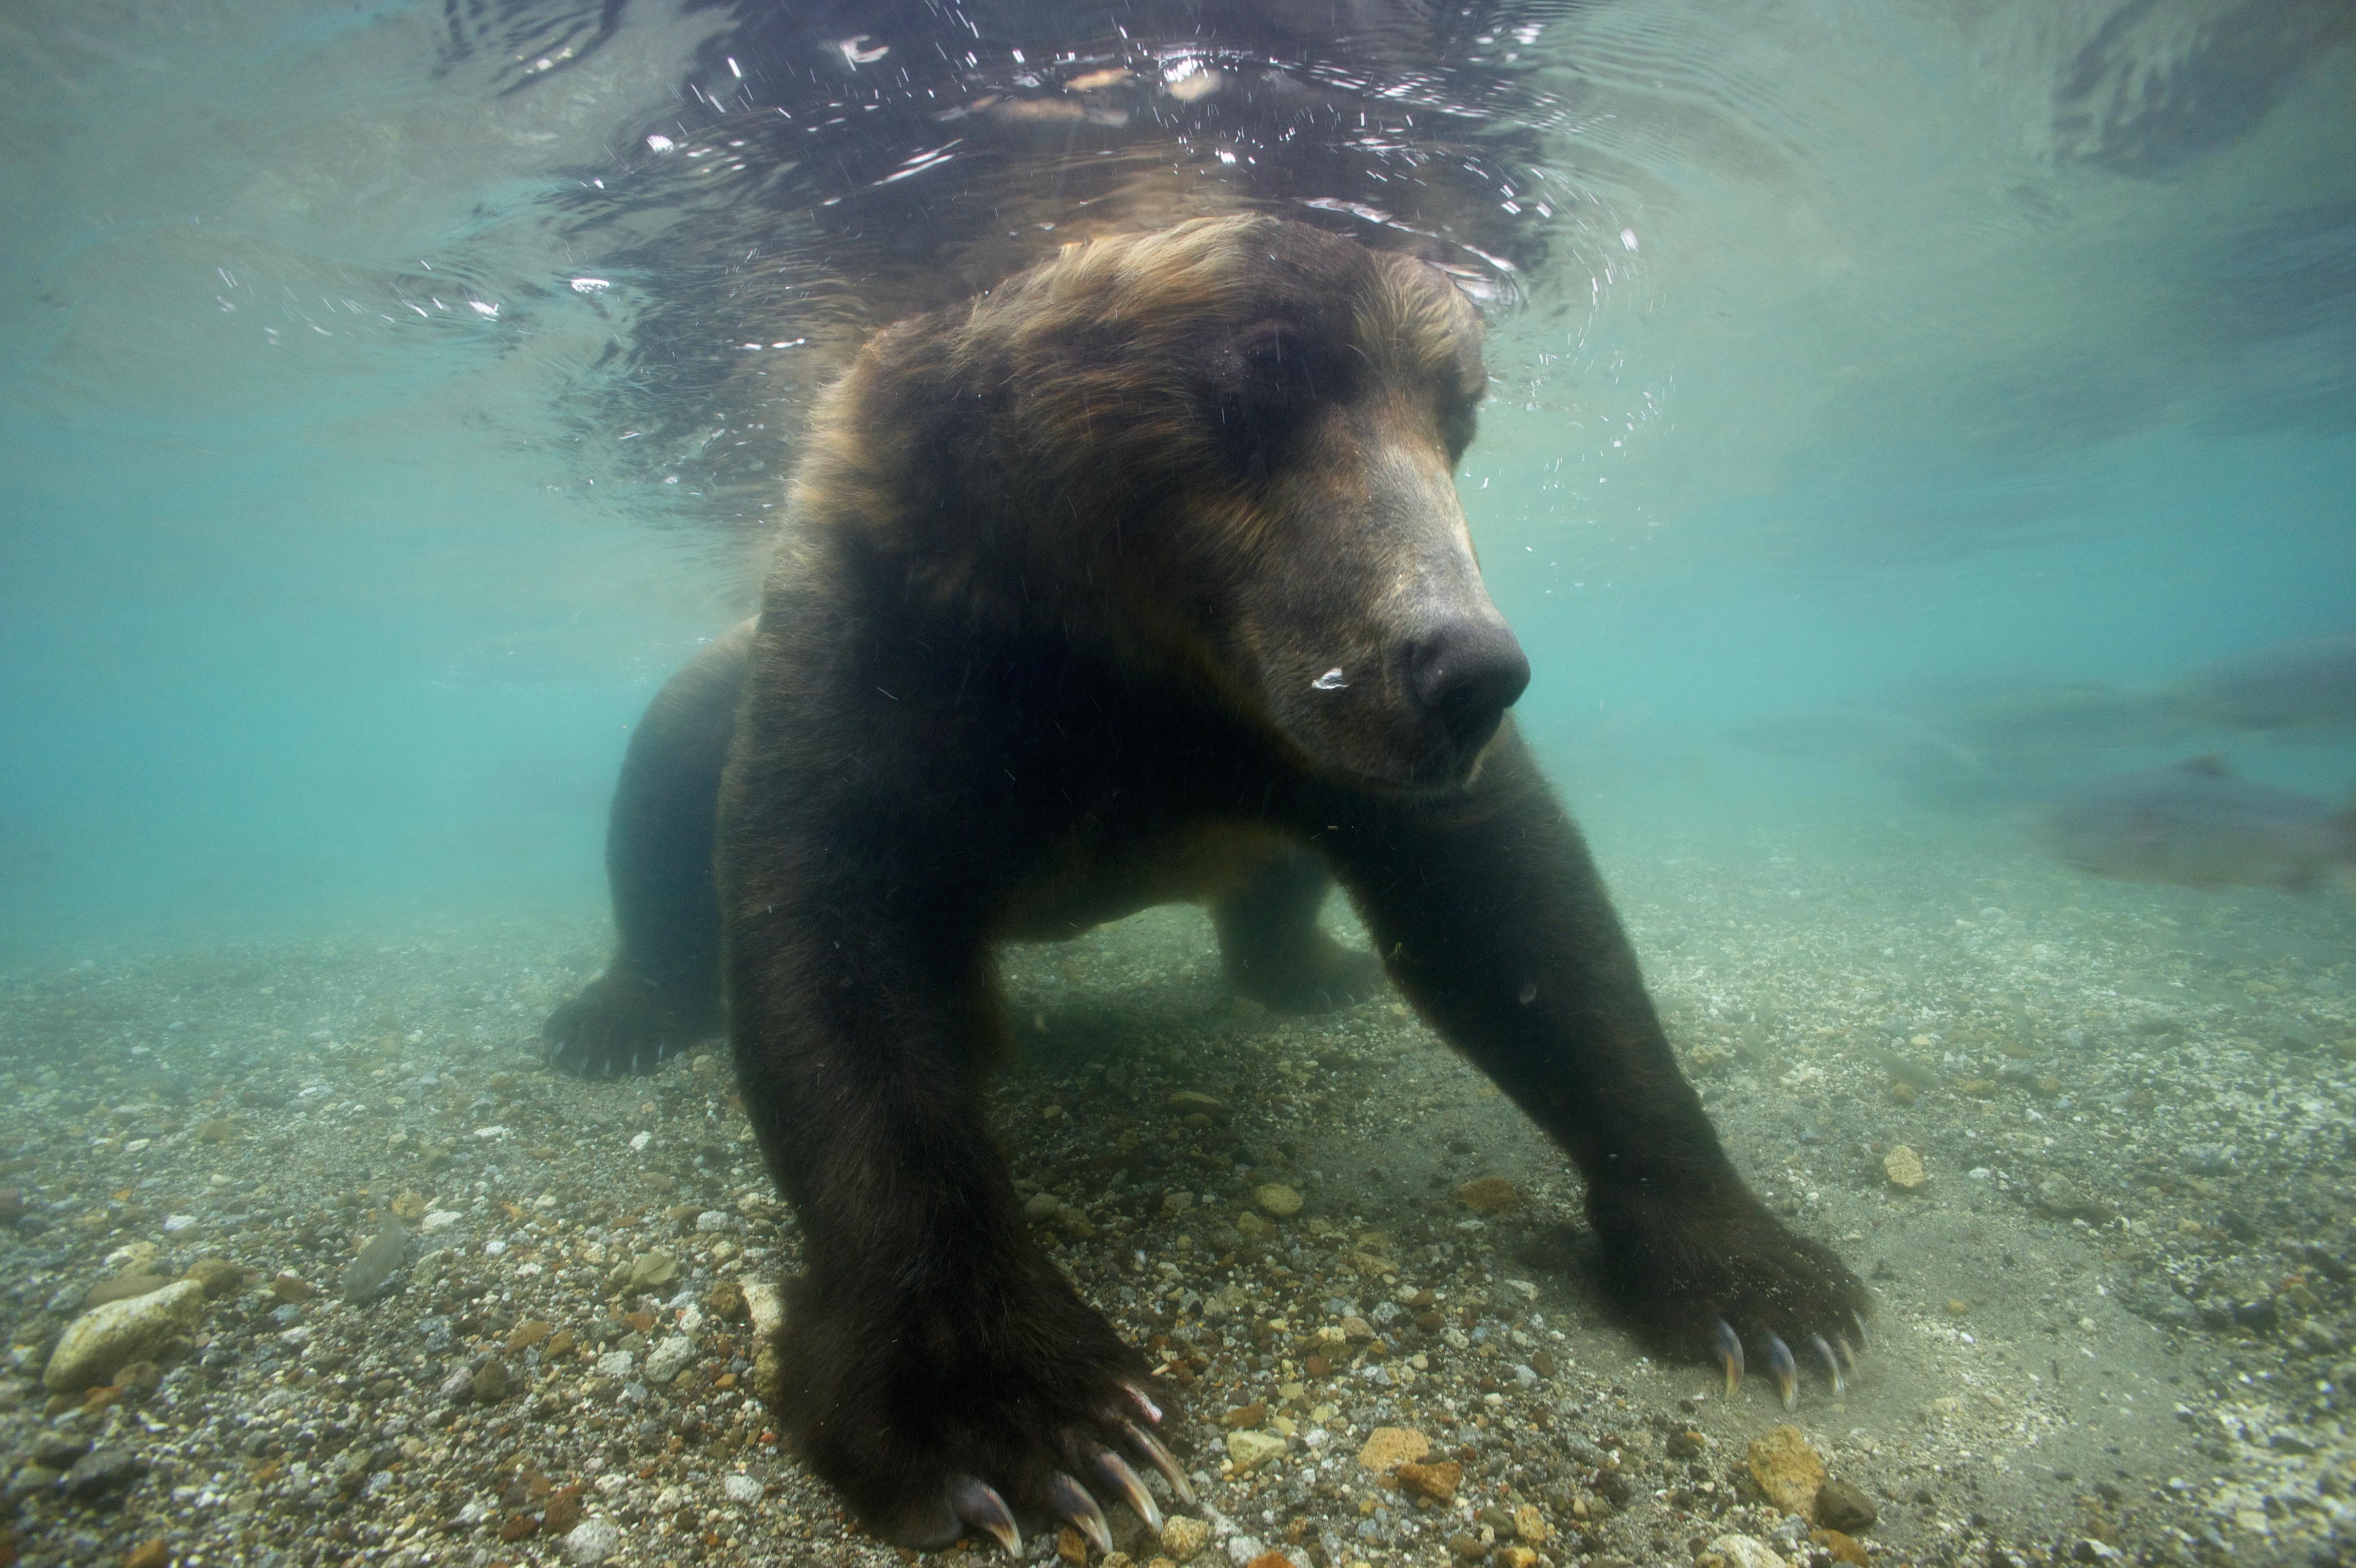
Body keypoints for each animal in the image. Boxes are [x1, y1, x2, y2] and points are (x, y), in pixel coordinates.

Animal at [542, 214, 1866, 1544]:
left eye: (1460, 414)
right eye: (1256, 381)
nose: (1467, 667)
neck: (1115, 653)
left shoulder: (1269, 724)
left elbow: (1522, 924)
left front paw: (1768, 1285)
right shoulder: (891, 645)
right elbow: (833, 960)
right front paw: (1026, 1419)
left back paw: (1313, 969)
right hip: (724, 691)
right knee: (659, 779)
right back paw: (612, 1017)